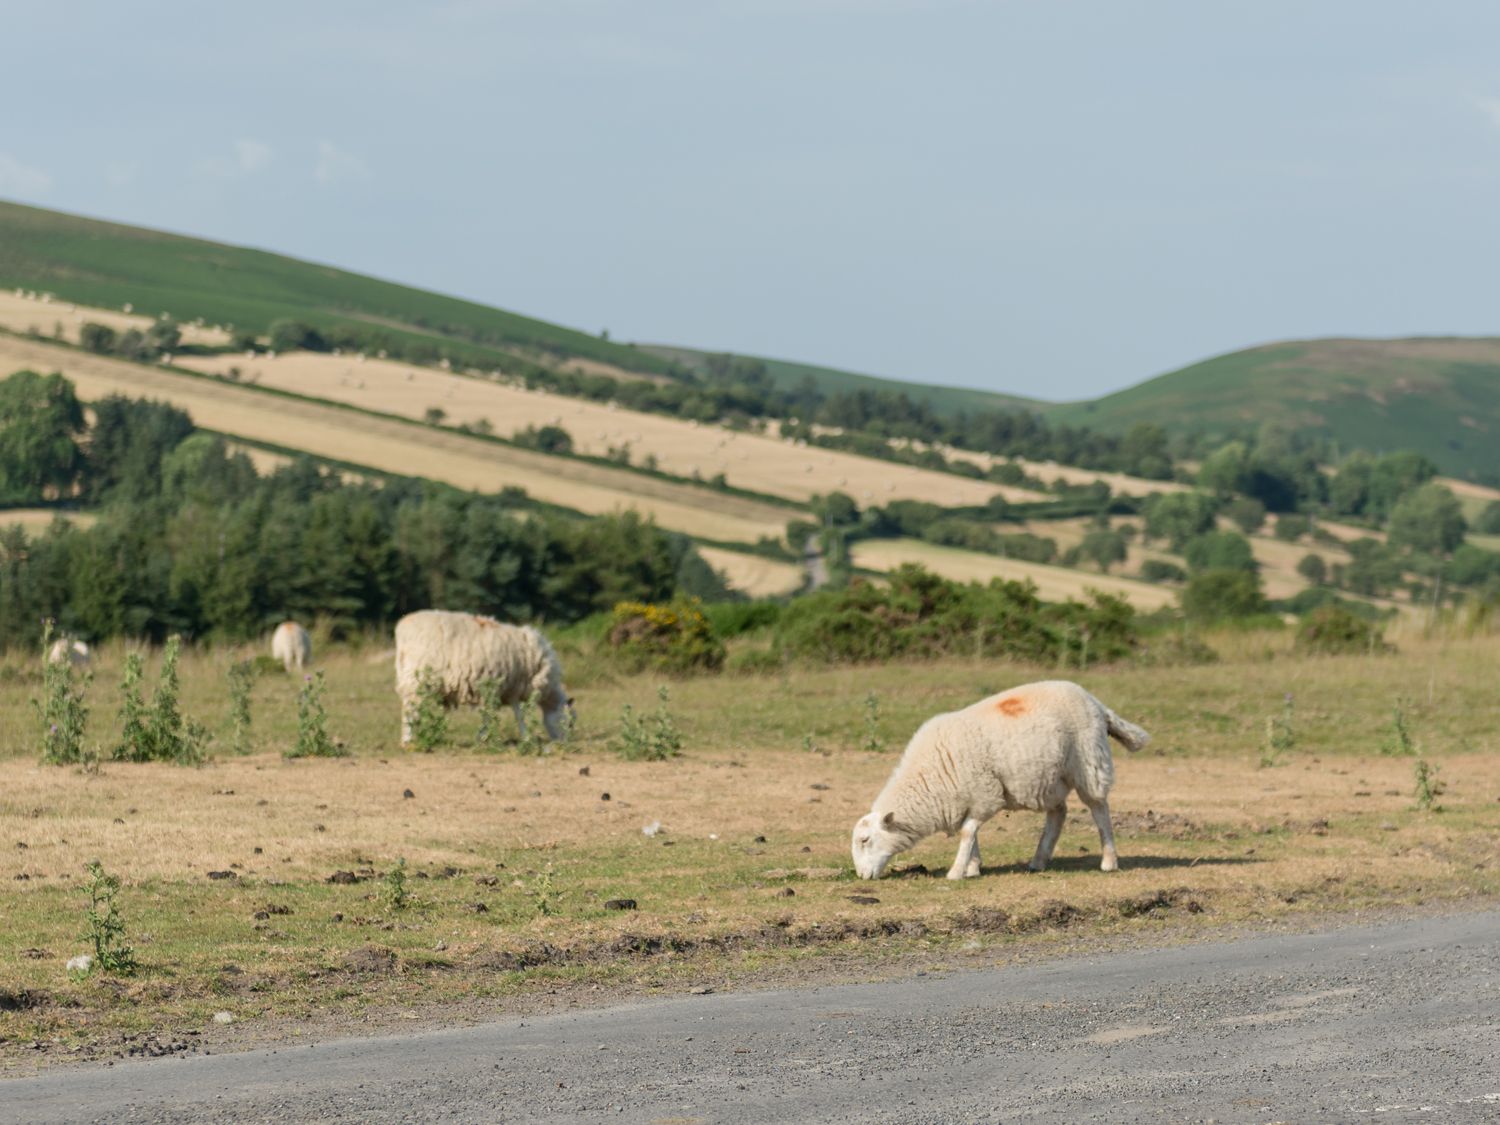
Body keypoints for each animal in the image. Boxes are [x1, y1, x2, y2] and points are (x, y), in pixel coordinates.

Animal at [390, 612, 570, 744]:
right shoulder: (512, 687)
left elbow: (489, 714)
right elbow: (517, 714)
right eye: (569, 721)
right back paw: (407, 740)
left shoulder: (500, 690)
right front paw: (526, 737)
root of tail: (402, 627)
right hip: (416, 679)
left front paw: (481, 737)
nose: (564, 743)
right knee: (410, 709)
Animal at [852, 684, 1152, 888]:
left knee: (1099, 809)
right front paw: (973, 866)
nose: (861, 876)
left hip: (1088, 763)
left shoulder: (985, 794)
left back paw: (1109, 861)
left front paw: (957, 871)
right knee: (1058, 814)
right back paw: (1038, 861)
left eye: (865, 840)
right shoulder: (968, 798)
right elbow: (971, 834)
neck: (929, 778)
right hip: (1050, 779)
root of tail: (1096, 703)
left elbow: (967, 832)